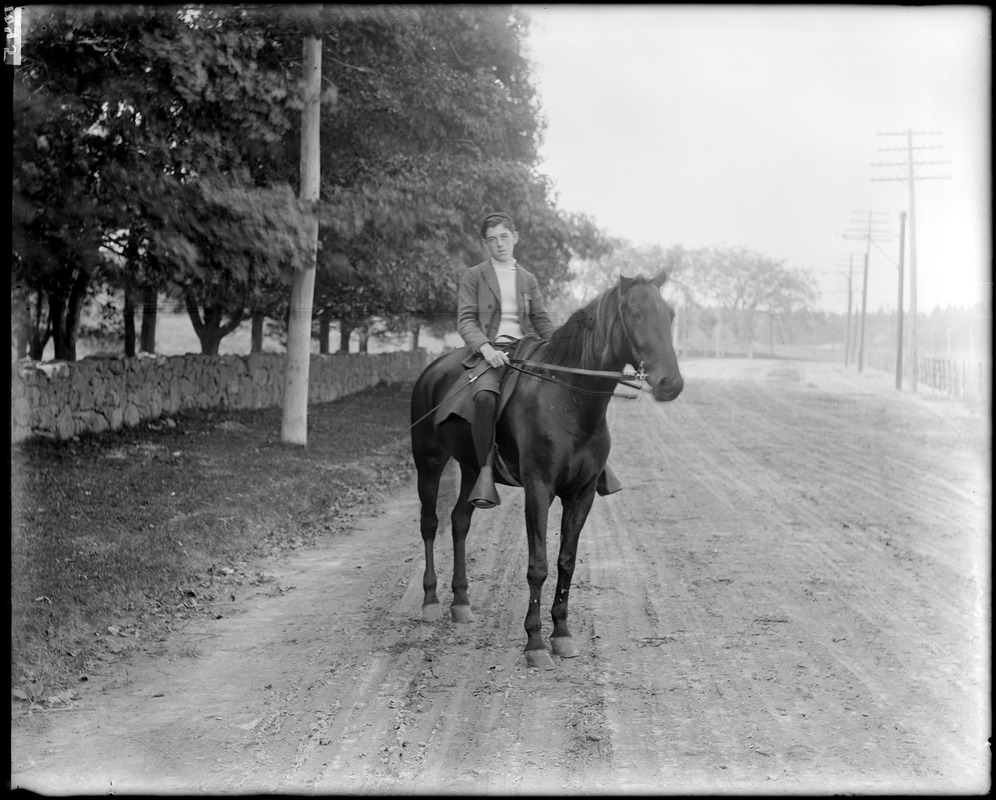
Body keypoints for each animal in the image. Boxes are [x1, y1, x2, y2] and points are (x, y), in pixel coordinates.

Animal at [408, 268, 680, 668]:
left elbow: (566, 561)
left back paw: (461, 601)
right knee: (430, 523)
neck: (568, 398)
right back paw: (430, 600)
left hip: (472, 469)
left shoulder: (582, 494)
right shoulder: (538, 489)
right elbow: (538, 564)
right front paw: (535, 642)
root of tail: (432, 370)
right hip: (428, 461)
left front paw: (562, 634)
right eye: (635, 314)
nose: (671, 384)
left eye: (670, 315)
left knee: (459, 522)